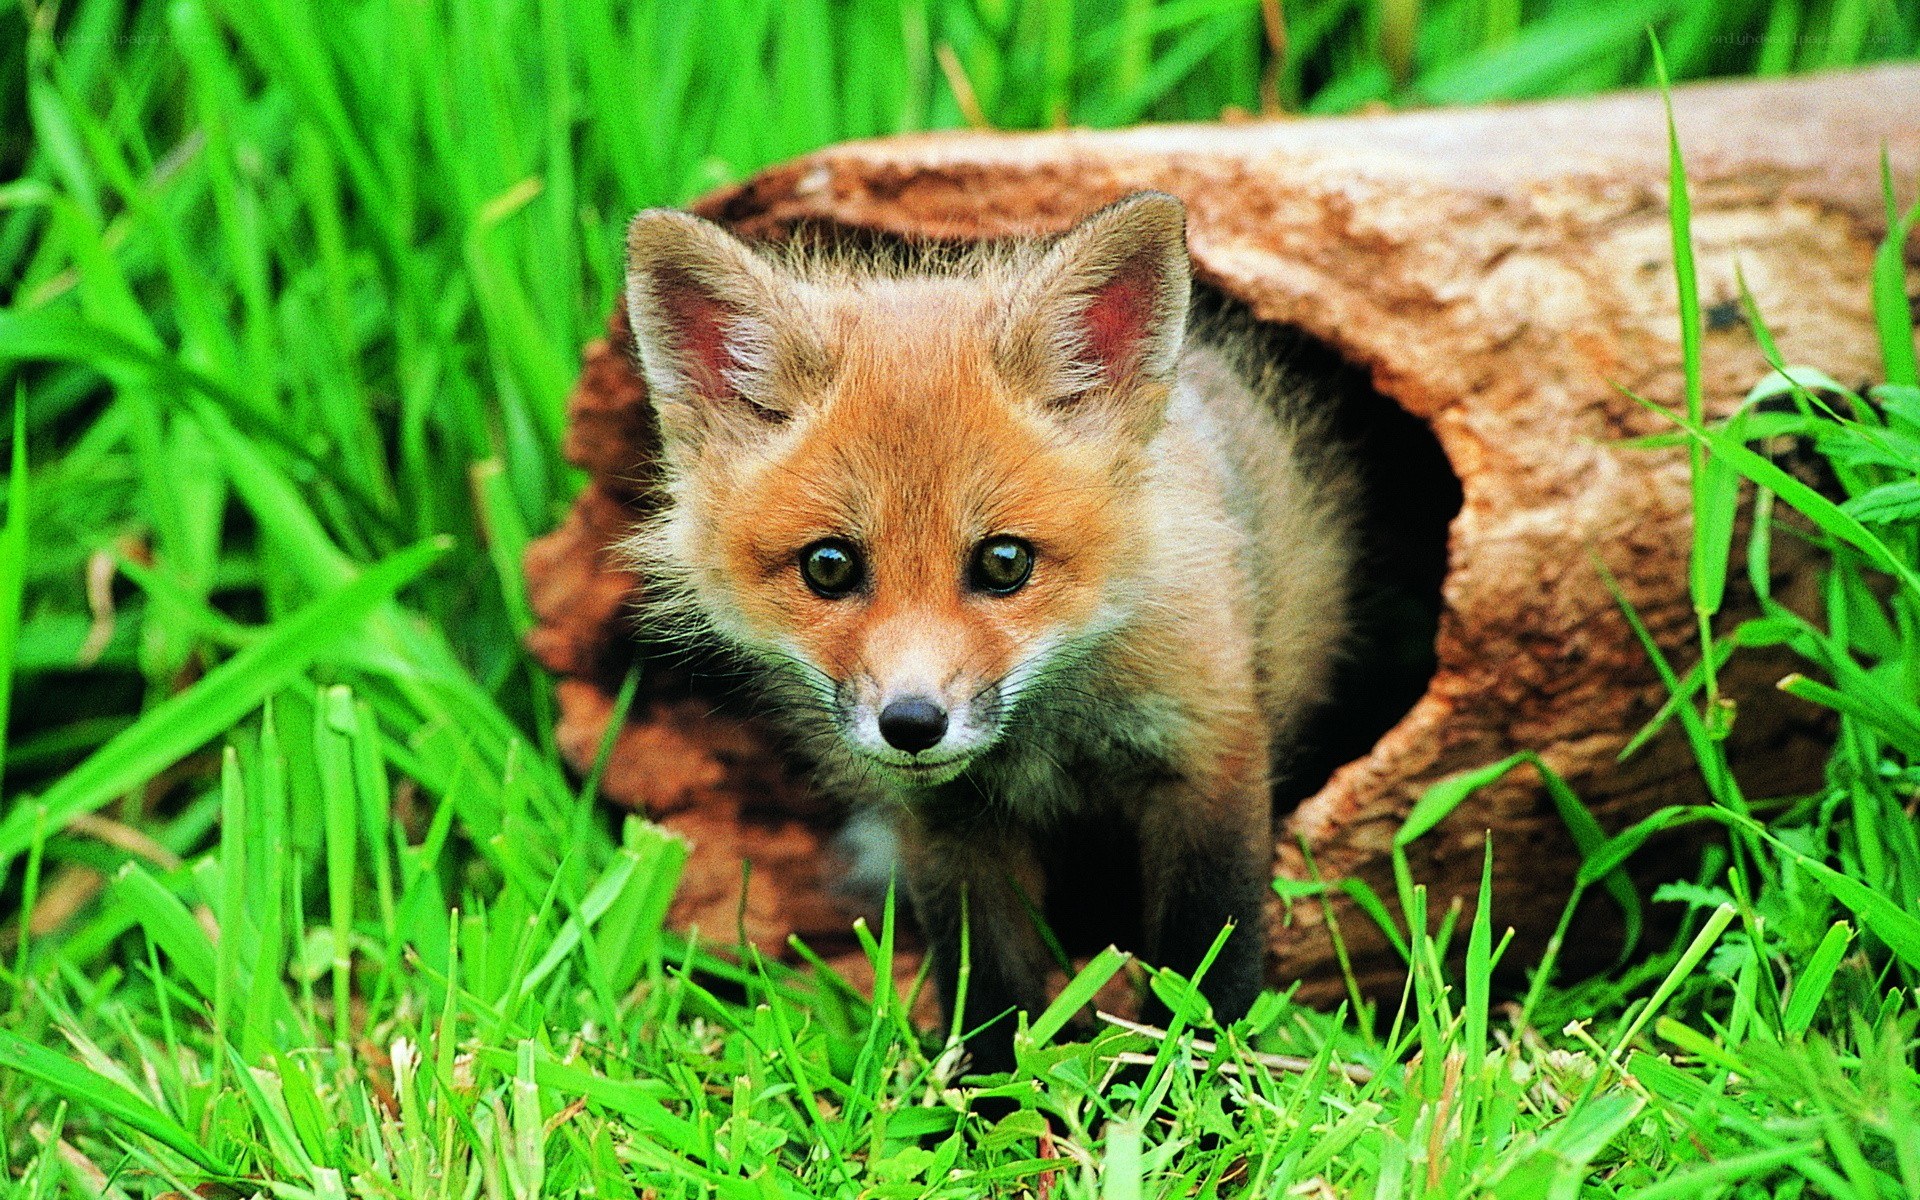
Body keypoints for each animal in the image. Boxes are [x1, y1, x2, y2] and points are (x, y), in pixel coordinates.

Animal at [619, 191, 1356, 1076]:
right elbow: (990, 984)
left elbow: (1205, 963)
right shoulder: (950, 824)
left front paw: (1191, 1090)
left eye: (1005, 562)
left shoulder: (1208, 754)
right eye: (829, 566)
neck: (1050, 737)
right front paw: (992, 1097)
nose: (911, 724)